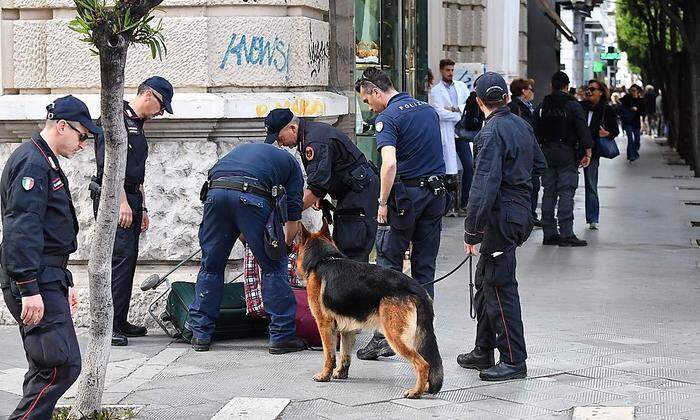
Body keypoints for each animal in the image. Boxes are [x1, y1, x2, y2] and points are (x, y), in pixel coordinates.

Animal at [296, 221, 442, 398]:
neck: (323, 259)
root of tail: (416, 288)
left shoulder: (324, 325)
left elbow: (329, 355)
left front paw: (325, 375)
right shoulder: (347, 330)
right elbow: (345, 354)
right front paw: (341, 373)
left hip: (395, 336)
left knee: (422, 364)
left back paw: (416, 392)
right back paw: (425, 387)